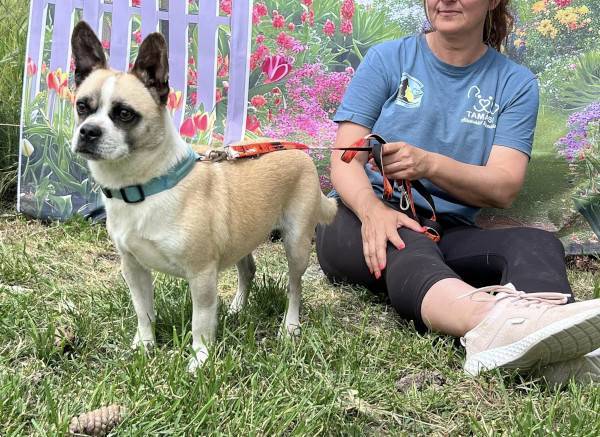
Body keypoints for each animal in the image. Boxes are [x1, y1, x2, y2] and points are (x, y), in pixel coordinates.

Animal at [70, 21, 337, 372]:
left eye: (125, 114)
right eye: (82, 107)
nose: (88, 131)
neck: (146, 185)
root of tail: (297, 148)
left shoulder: (201, 276)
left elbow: (201, 322)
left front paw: (200, 361)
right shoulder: (134, 268)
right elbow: (143, 311)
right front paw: (144, 346)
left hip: (296, 245)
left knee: (294, 288)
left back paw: (289, 327)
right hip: (244, 236)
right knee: (248, 270)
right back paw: (238, 308)